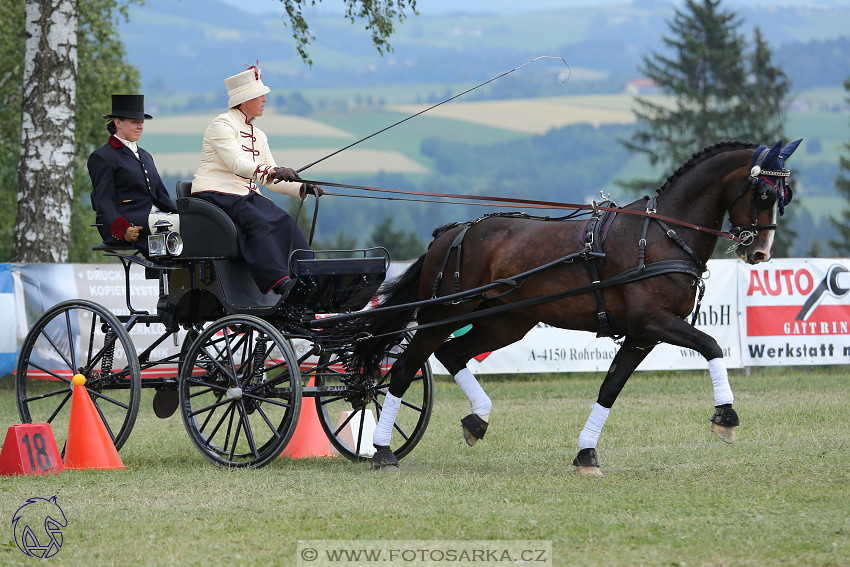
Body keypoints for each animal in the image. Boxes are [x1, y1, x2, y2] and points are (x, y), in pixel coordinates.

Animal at [352, 139, 800, 474]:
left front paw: (586, 454)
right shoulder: (654, 321)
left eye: (785, 196)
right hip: (446, 313)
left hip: (505, 321)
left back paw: (477, 420)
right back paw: (383, 451)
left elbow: (610, 388)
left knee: (453, 353)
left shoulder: (641, 334)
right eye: (764, 193)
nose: (760, 253)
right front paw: (726, 418)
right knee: (405, 369)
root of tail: (452, 232)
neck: (662, 235)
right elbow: (711, 345)